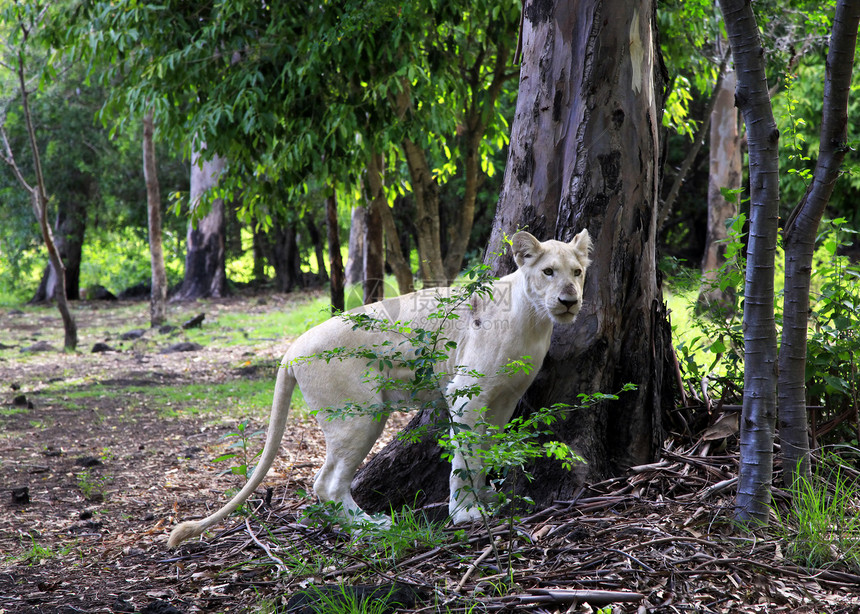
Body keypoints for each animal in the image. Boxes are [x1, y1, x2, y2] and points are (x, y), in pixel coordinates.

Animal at [168, 231, 592, 548]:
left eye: (577, 271)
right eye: (548, 271)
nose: (569, 300)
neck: (534, 321)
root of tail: (290, 351)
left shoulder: (504, 400)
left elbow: (484, 452)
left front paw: (487, 497)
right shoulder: (465, 394)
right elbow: (464, 459)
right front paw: (466, 514)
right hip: (360, 416)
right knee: (326, 483)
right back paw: (372, 527)